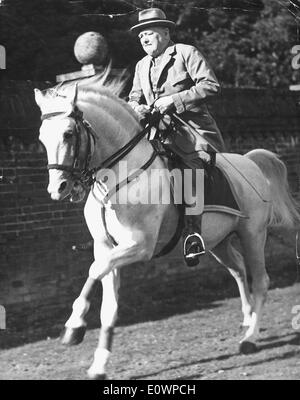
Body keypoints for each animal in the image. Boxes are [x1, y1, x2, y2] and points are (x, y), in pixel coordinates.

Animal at [34, 76, 298, 380]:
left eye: (68, 134)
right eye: (42, 137)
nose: (58, 188)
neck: (120, 177)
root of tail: (250, 162)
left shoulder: (140, 246)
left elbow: (93, 271)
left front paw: (73, 326)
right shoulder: (107, 248)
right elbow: (108, 304)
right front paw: (99, 364)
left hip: (252, 235)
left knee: (261, 281)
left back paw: (250, 338)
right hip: (219, 243)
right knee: (240, 272)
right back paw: (246, 320)